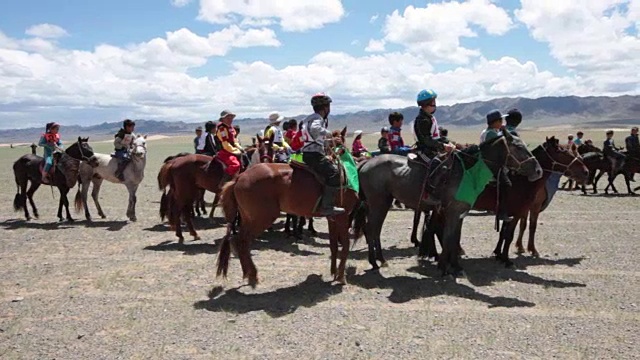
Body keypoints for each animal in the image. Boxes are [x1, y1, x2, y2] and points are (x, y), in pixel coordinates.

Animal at [216, 128, 360, 286]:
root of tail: (239, 178)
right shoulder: (343, 216)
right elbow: (345, 245)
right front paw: (341, 276)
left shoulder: (332, 218)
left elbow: (333, 245)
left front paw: (334, 272)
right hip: (262, 218)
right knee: (242, 241)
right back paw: (253, 275)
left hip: (248, 217)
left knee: (238, 241)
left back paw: (247, 274)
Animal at [350, 131, 540, 278]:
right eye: (518, 147)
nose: (538, 171)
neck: (468, 172)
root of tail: (366, 163)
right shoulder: (453, 211)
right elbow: (449, 237)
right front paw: (445, 268)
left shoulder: (459, 212)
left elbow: (453, 237)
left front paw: (454, 266)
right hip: (379, 203)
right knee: (372, 229)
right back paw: (376, 262)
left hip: (379, 203)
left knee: (373, 229)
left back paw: (380, 260)